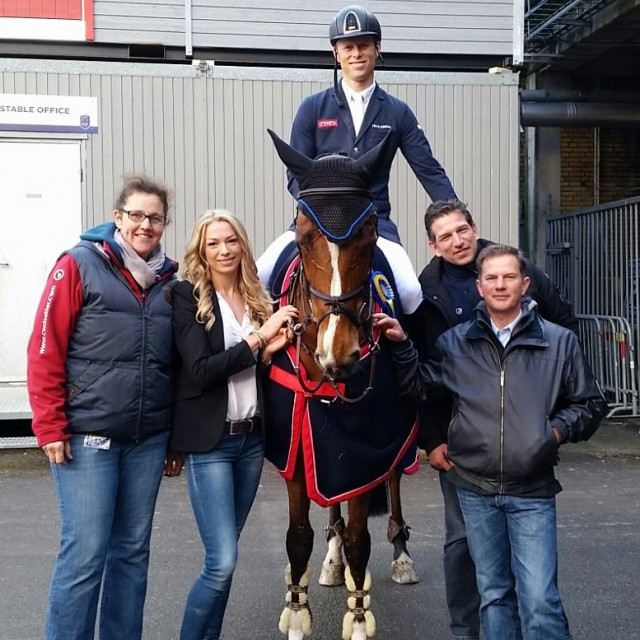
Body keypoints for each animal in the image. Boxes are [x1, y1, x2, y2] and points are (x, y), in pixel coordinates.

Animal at [262, 127, 422, 636]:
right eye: (303, 234)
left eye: (369, 232)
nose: (340, 352)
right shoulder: (298, 440)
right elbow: (298, 536)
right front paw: (297, 613)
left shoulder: (365, 444)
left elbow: (359, 538)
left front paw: (357, 617)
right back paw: (331, 561)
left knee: (392, 482)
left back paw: (401, 554)